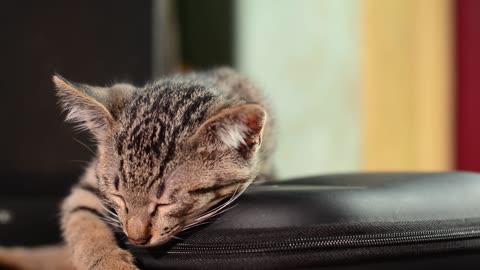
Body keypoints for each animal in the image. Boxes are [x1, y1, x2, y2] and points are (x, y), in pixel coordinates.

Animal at [0, 67, 274, 270]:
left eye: (165, 203)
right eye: (119, 196)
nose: (135, 238)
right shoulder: (88, 186)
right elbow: (82, 222)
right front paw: (109, 263)